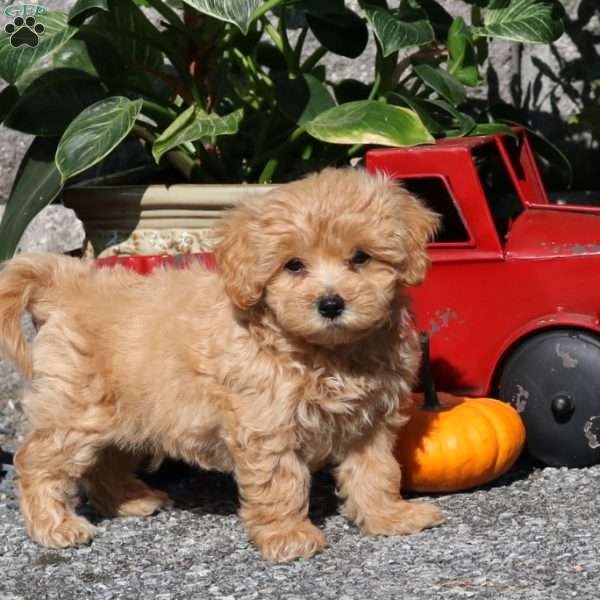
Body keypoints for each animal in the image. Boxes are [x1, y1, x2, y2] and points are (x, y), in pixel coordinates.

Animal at [0, 166, 442, 560]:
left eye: (361, 258)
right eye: (293, 265)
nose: (331, 304)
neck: (327, 351)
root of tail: (69, 283)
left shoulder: (372, 421)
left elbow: (376, 471)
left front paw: (389, 517)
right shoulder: (267, 423)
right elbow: (279, 482)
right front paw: (288, 536)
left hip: (131, 412)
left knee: (104, 461)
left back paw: (130, 500)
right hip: (75, 410)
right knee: (37, 461)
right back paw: (55, 525)